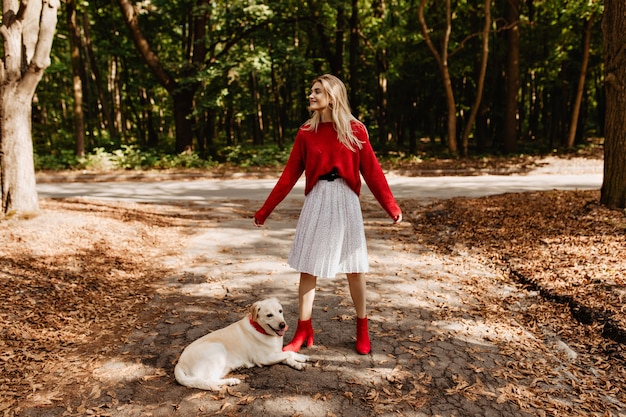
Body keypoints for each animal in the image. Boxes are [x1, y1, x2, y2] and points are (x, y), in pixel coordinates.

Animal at [173, 296, 308, 390]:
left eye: (280, 311)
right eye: (269, 315)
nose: (283, 325)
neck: (260, 329)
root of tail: (179, 363)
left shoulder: (275, 354)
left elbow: (287, 356)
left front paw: (299, 361)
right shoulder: (264, 359)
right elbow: (288, 353)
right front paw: (301, 358)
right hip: (218, 348)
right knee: (209, 379)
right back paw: (232, 380)